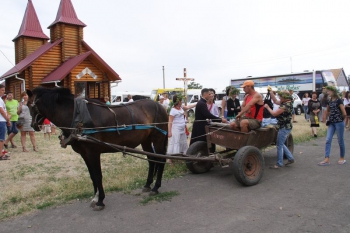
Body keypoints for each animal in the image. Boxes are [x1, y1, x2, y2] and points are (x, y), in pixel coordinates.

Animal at [27, 87, 168, 211]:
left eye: (29, 105)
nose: (33, 126)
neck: (78, 117)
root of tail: (160, 106)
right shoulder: (84, 154)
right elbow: (92, 176)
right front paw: (95, 198)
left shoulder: (93, 153)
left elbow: (98, 175)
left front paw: (100, 200)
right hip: (146, 140)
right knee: (152, 159)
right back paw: (148, 185)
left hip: (159, 138)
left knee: (161, 160)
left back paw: (156, 187)